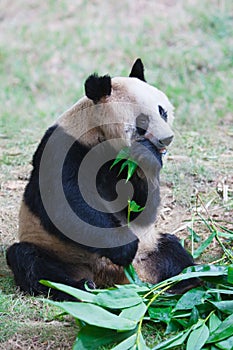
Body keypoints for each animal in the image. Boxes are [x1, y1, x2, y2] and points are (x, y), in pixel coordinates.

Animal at [6, 58, 198, 300]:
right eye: (142, 121)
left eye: (162, 111)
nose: (167, 138)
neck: (100, 135)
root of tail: (109, 277)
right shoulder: (63, 148)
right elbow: (64, 206)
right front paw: (125, 247)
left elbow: (141, 209)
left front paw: (147, 158)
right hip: (58, 252)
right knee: (30, 261)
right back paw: (78, 288)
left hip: (150, 247)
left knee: (172, 249)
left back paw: (183, 283)